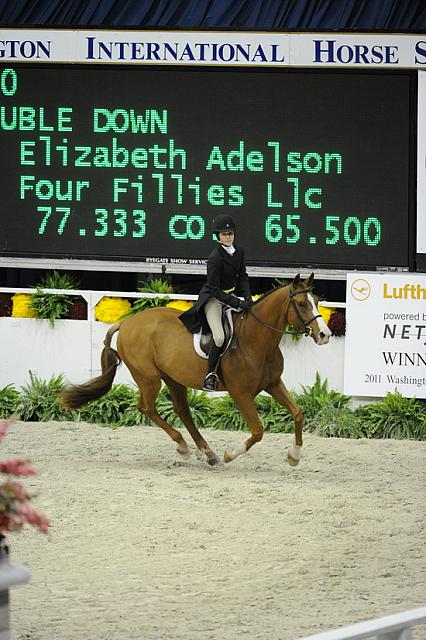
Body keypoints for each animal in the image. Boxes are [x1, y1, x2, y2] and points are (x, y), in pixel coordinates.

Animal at [61, 274, 332, 464]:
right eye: (301, 303)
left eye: (317, 301)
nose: (324, 335)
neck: (257, 339)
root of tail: (126, 323)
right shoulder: (241, 394)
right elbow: (257, 431)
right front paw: (230, 454)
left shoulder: (273, 384)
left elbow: (297, 413)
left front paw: (294, 456)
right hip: (149, 378)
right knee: (147, 408)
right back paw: (184, 447)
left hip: (173, 378)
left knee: (182, 411)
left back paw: (207, 453)